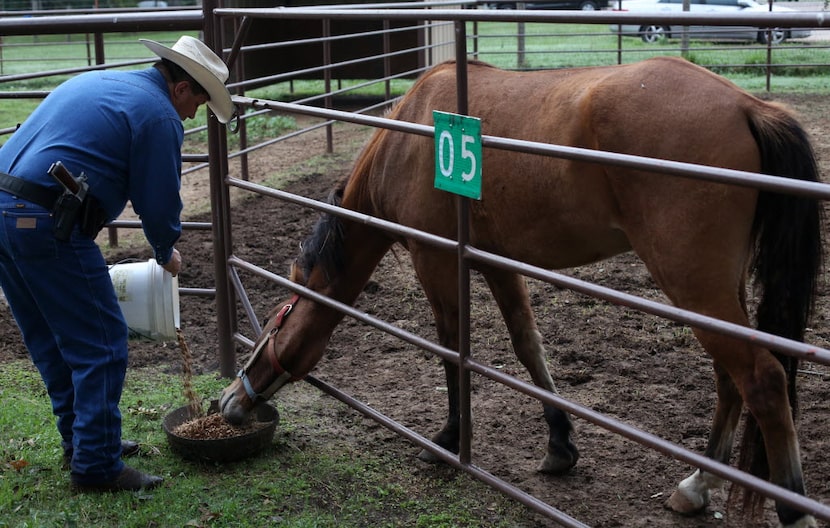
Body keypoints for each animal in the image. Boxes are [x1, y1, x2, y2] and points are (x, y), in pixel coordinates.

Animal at [221, 55, 824, 524]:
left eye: (278, 313)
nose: (229, 400)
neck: (412, 137)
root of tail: (748, 106)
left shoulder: (435, 259)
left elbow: (451, 348)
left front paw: (446, 442)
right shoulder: (498, 262)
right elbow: (527, 346)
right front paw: (560, 444)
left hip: (694, 284)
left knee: (762, 379)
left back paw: (788, 505)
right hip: (713, 294)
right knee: (731, 377)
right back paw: (696, 487)